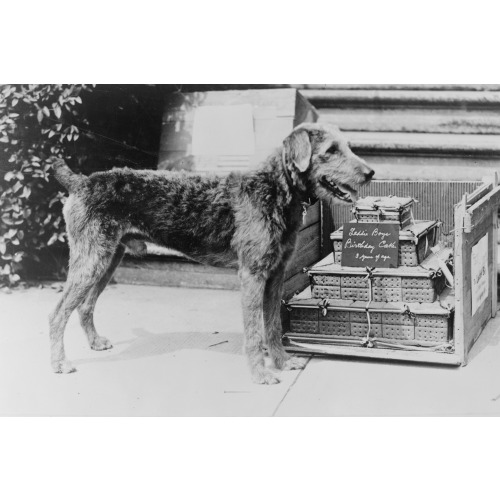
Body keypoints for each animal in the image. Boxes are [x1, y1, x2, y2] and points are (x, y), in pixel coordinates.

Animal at [48, 123, 374, 384]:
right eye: (331, 150)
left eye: (346, 145)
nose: (370, 173)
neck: (274, 189)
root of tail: (80, 182)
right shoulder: (252, 274)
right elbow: (255, 331)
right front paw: (261, 374)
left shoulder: (275, 274)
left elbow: (273, 325)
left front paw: (282, 362)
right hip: (91, 260)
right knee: (57, 313)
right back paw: (59, 363)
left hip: (107, 260)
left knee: (85, 306)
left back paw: (94, 343)